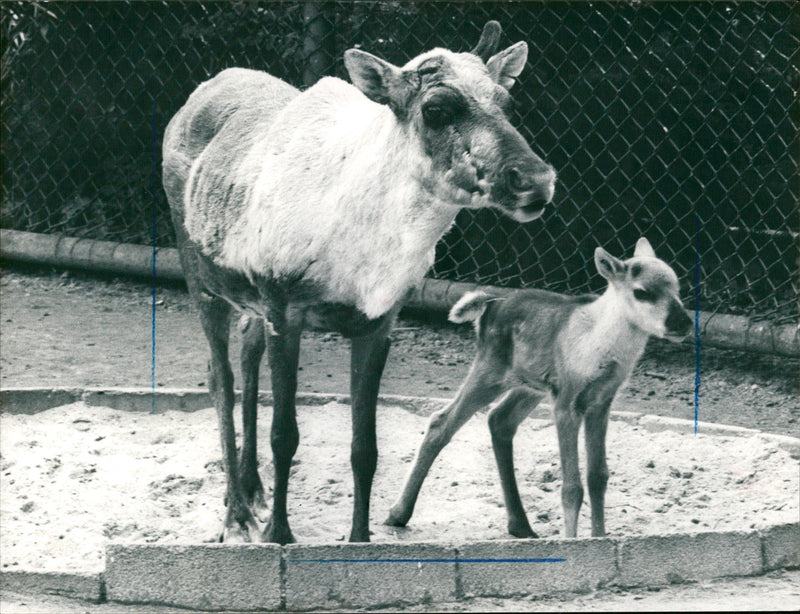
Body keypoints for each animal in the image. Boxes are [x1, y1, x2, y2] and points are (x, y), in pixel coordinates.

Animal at [384, 238, 692, 536]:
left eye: (677, 286)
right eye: (642, 292)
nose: (684, 323)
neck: (599, 346)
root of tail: (489, 304)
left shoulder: (600, 402)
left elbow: (598, 477)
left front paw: (600, 537)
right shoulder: (566, 400)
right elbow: (571, 487)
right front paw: (571, 540)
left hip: (528, 386)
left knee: (499, 420)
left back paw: (520, 525)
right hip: (490, 370)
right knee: (442, 422)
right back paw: (397, 514)